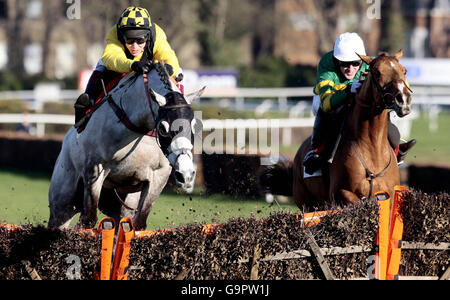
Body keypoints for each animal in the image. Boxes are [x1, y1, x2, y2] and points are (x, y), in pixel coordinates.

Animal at [48, 63, 204, 230]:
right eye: (162, 128)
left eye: (194, 125)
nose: (185, 173)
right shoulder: (95, 168)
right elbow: (87, 220)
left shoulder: (159, 176)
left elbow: (139, 223)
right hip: (63, 202)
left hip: (123, 203)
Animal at [262, 50, 414, 211]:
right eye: (377, 72)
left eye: (404, 70)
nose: (403, 100)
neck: (372, 148)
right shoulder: (342, 194)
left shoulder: (389, 195)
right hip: (308, 203)